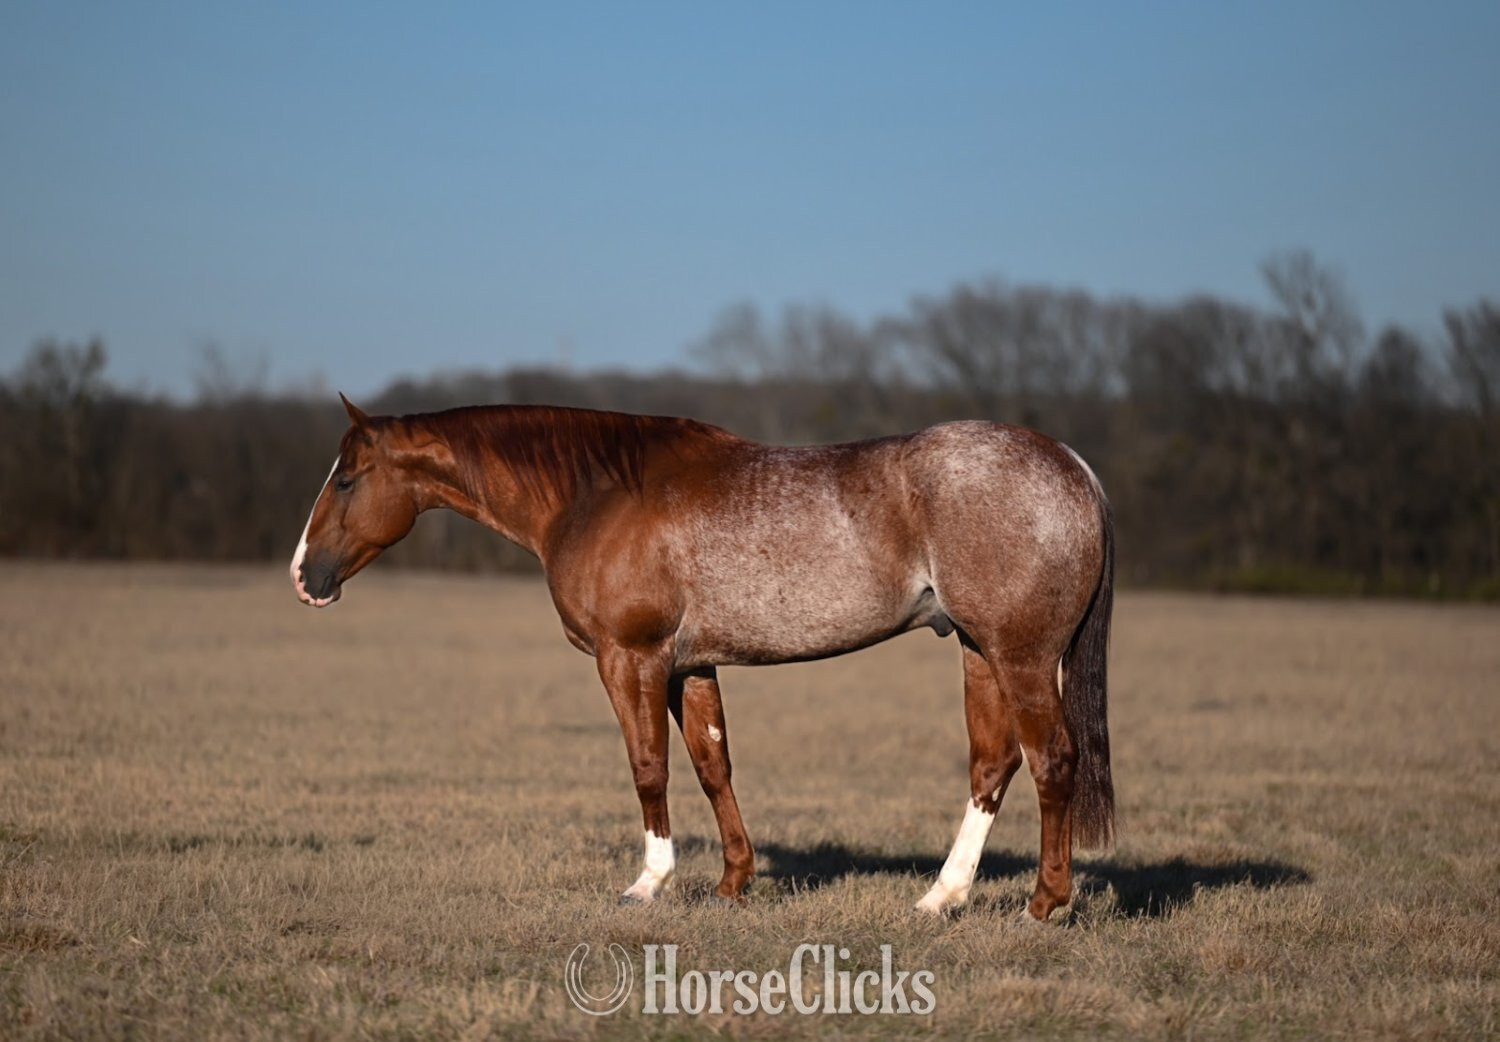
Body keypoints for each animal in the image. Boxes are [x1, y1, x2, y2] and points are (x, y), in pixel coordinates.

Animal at [290, 395, 1114, 921]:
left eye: (347, 478)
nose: (305, 576)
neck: (597, 495)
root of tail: (1074, 466)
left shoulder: (630, 660)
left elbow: (648, 768)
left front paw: (649, 883)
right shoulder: (691, 667)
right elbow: (713, 766)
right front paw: (732, 882)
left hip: (1020, 656)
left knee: (1052, 760)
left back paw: (1044, 902)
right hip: (979, 650)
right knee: (992, 764)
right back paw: (943, 897)